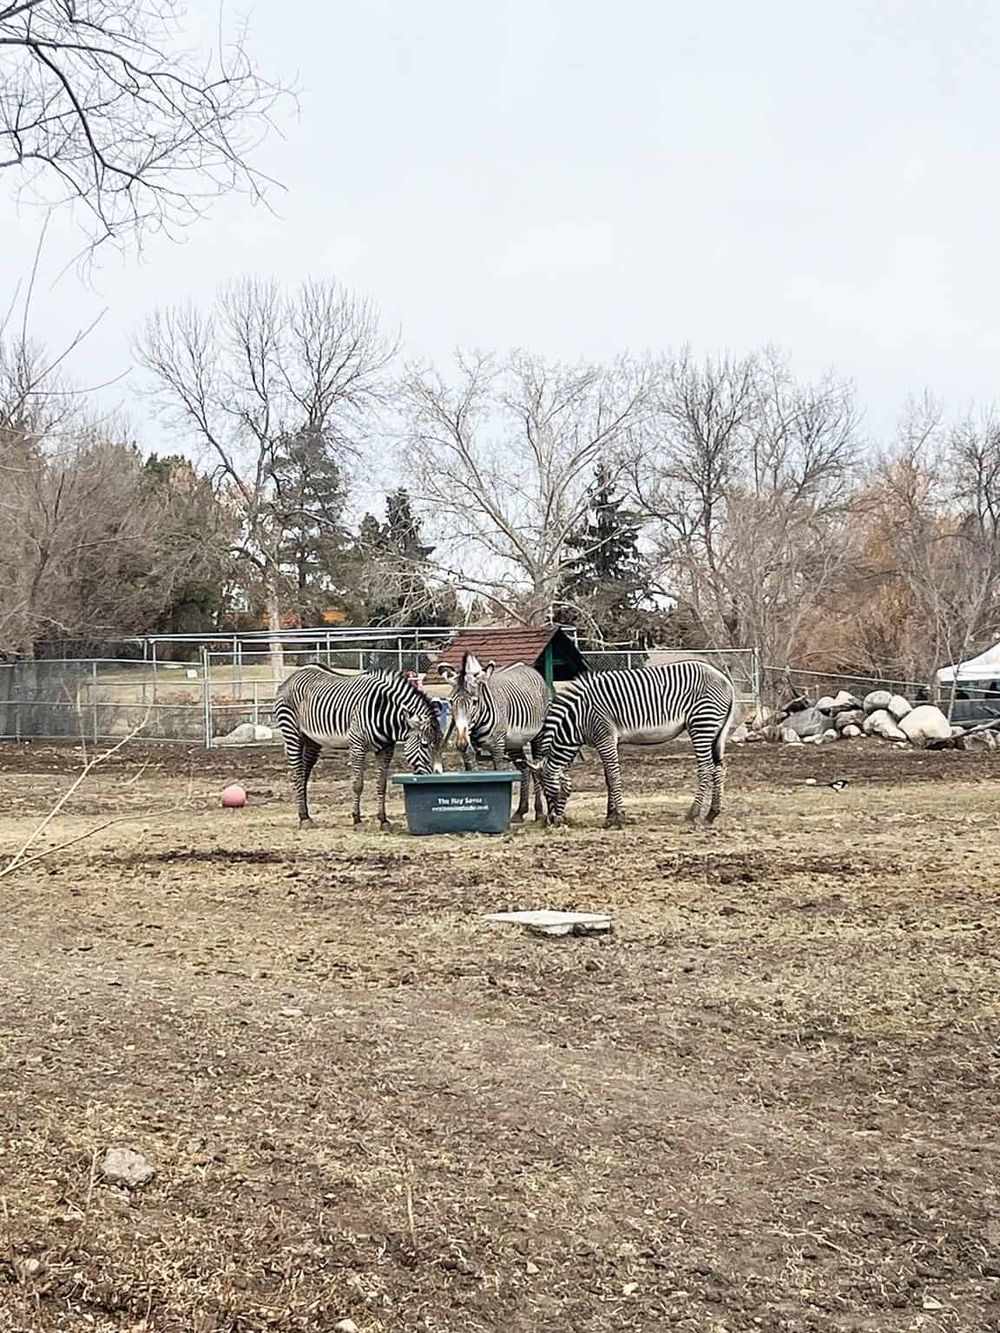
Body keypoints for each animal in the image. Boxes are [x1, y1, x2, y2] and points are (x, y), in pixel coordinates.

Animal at [272, 665, 443, 828]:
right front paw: (357, 819)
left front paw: (383, 820)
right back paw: (303, 818)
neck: (384, 712)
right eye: (424, 745)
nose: (436, 777)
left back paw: (306, 815)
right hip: (292, 732)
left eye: (440, 745)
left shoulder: (386, 748)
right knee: (298, 772)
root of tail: (291, 677)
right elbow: (357, 784)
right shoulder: (357, 746)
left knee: (304, 773)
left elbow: (382, 785)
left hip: (312, 740)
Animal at [437, 653, 549, 821]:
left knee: (536, 768)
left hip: (537, 736)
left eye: (474, 702)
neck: (475, 725)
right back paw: (520, 811)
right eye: (451, 702)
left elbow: (499, 774)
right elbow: (471, 774)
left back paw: (539, 812)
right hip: (513, 743)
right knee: (524, 769)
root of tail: (526, 667)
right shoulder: (469, 751)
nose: (461, 743)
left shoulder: (497, 747)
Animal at [528, 660, 735, 828]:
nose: (551, 822)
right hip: (715, 730)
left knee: (706, 768)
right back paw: (712, 813)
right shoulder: (609, 741)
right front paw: (610, 817)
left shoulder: (605, 737)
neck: (578, 719)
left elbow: (613, 776)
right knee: (719, 767)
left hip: (701, 724)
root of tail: (725, 679)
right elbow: (608, 778)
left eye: (547, 789)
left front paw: (619, 817)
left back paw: (693, 814)